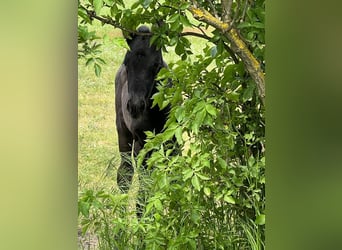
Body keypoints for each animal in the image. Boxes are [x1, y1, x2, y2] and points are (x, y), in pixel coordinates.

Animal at [115, 26, 168, 195]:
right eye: (126, 62)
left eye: (156, 64)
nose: (135, 106)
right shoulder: (143, 144)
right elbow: (146, 181)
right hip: (123, 131)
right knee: (125, 170)